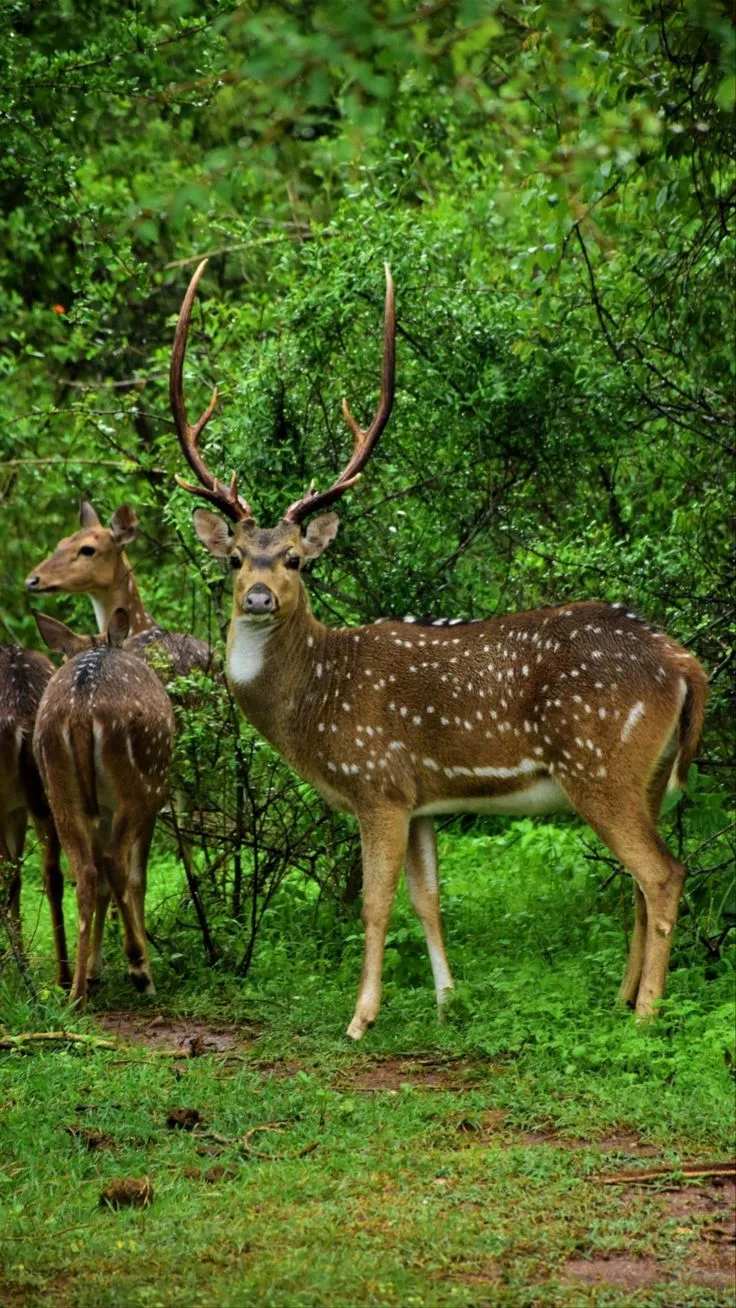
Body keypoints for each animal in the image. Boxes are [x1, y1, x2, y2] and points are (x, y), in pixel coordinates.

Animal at [32, 608, 175, 1006]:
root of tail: (82, 711)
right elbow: (138, 878)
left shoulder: (99, 811)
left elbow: (101, 885)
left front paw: (95, 972)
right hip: (142, 785)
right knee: (113, 861)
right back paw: (140, 970)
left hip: (58, 788)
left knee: (85, 872)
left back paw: (76, 994)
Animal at [170, 258, 708, 1040]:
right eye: (237, 558)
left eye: (296, 559)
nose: (260, 597)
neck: (312, 706)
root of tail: (683, 663)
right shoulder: (420, 796)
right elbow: (429, 899)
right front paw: (449, 1000)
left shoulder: (377, 782)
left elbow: (374, 903)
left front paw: (360, 1018)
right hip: (650, 774)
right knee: (643, 878)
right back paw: (620, 998)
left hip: (600, 761)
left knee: (662, 873)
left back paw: (644, 1015)